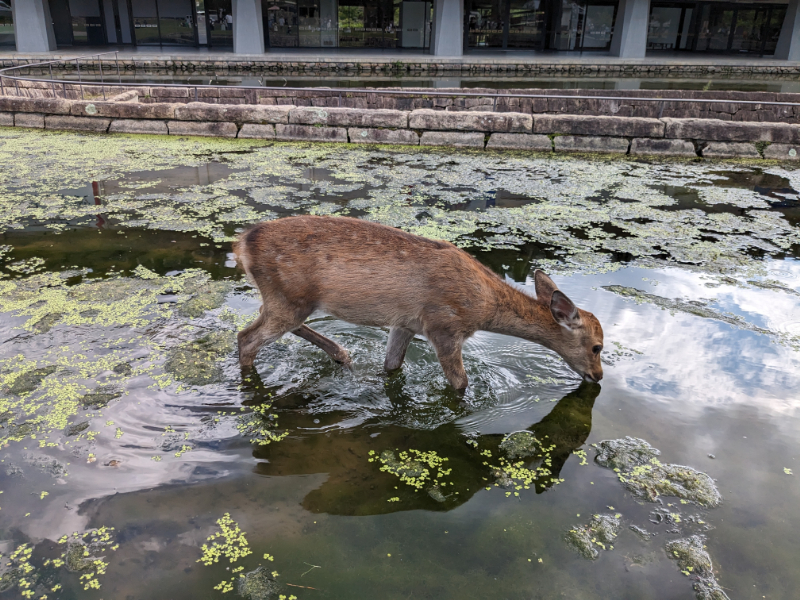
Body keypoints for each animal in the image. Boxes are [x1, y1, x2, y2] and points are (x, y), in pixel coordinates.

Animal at [234, 216, 604, 390]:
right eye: (598, 346)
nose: (598, 376)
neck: (484, 306)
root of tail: (242, 244)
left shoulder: (406, 323)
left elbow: (392, 366)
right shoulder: (444, 325)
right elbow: (460, 383)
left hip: (286, 299)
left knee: (262, 321)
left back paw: (343, 355)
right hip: (288, 297)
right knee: (246, 338)